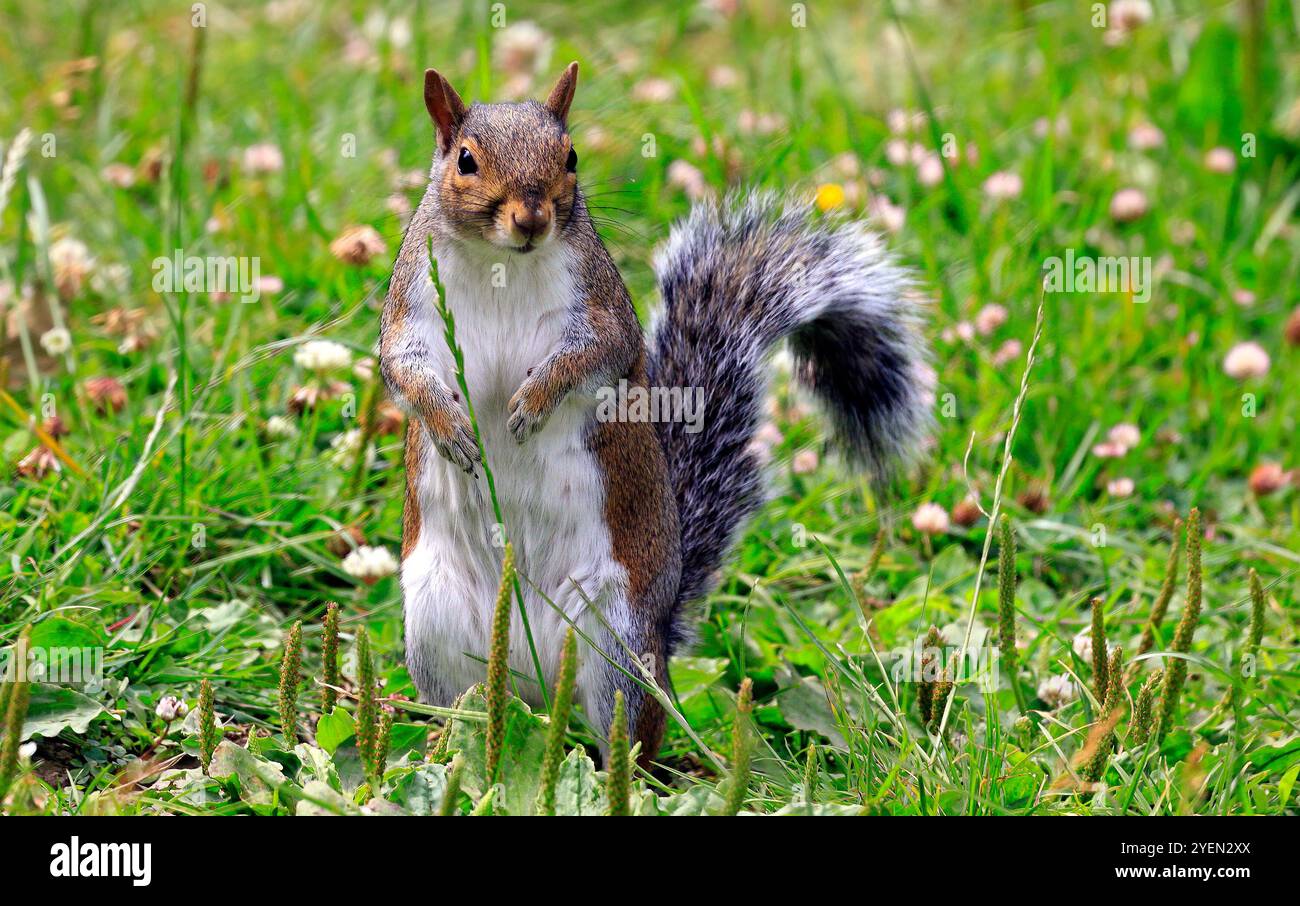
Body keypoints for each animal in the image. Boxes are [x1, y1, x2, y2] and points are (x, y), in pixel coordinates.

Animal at [380, 62, 930, 765]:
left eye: (570, 157)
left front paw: (529, 407)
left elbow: (591, 358)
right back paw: (446, 747)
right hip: (435, 626)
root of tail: (533, 682)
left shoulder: (601, 311)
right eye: (466, 160)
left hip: (615, 641)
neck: (504, 262)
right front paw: (452, 431)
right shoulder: (411, 308)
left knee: (633, 731)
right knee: (464, 706)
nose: (531, 217)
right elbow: (404, 370)